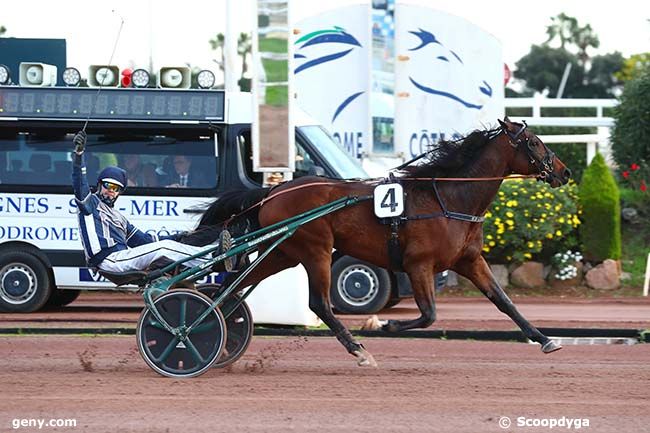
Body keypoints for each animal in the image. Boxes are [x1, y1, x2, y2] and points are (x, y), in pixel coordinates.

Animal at [191, 117, 568, 364]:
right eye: (534, 142)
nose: (564, 172)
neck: (450, 197)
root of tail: (274, 191)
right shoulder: (418, 265)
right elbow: (429, 315)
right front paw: (382, 323)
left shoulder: (470, 261)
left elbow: (504, 301)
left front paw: (545, 339)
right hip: (315, 250)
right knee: (319, 304)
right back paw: (359, 350)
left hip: (283, 252)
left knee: (232, 287)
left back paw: (211, 330)